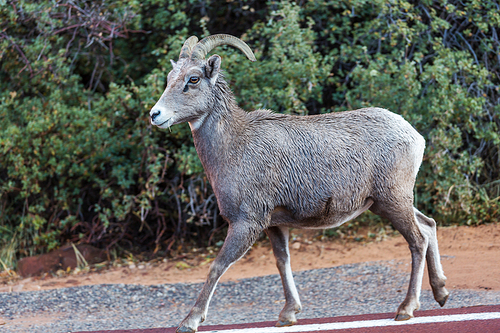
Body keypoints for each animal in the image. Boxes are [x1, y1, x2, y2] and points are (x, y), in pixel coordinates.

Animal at [148, 34, 450, 332]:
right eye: (170, 78)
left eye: (193, 79)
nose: (155, 114)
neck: (234, 145)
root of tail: (414, 136)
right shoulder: (274, 224)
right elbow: (282, 262)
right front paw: (288, 315)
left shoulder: (246, 223)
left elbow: (217, 266)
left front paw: (189, 321)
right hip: (390, 202)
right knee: (429, 225)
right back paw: (441, 293)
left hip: (392, 201)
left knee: (418, 240)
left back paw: (406, 309)